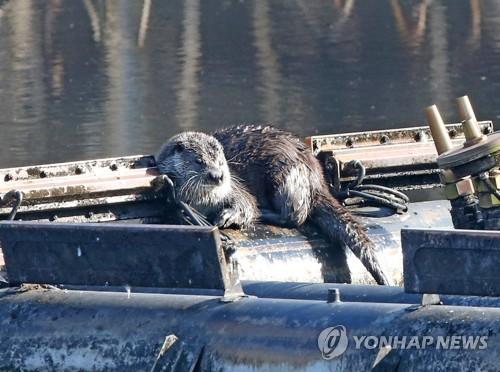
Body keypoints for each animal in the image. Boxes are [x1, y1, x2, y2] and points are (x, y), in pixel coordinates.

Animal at [156, 125, 390, 284]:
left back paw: (265, 212)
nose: (218, 175)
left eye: (221, 162)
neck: (203, 202)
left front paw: (227, 216)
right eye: (199, 161)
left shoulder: (236, 189)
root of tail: (316, 175)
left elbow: (246, 205)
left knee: (296, 214)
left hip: (285, 174)